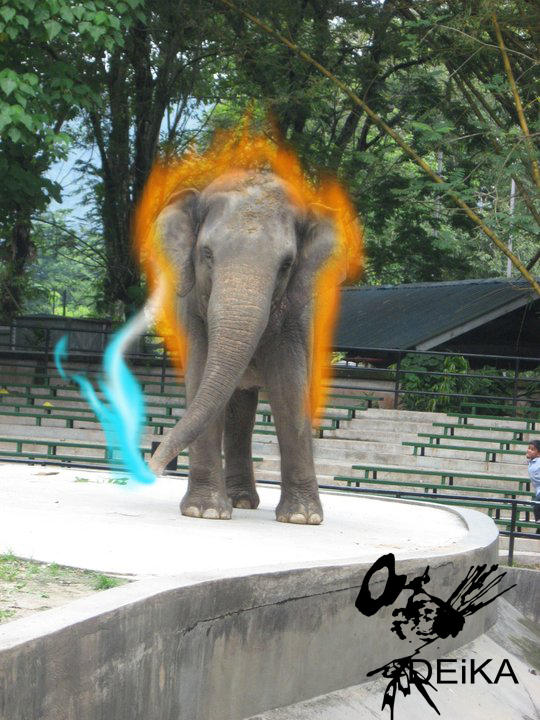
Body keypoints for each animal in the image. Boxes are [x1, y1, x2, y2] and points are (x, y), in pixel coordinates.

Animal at [147, 169, 339, 524]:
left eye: (286, 264)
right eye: (207, 253)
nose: (152, 467)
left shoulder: (297, 314)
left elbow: (289, 386)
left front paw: (301, 519)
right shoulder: (192, 306)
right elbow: (201, 372)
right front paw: (205, 512)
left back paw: (245, 502)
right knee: (238, 411)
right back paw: (239, 501)